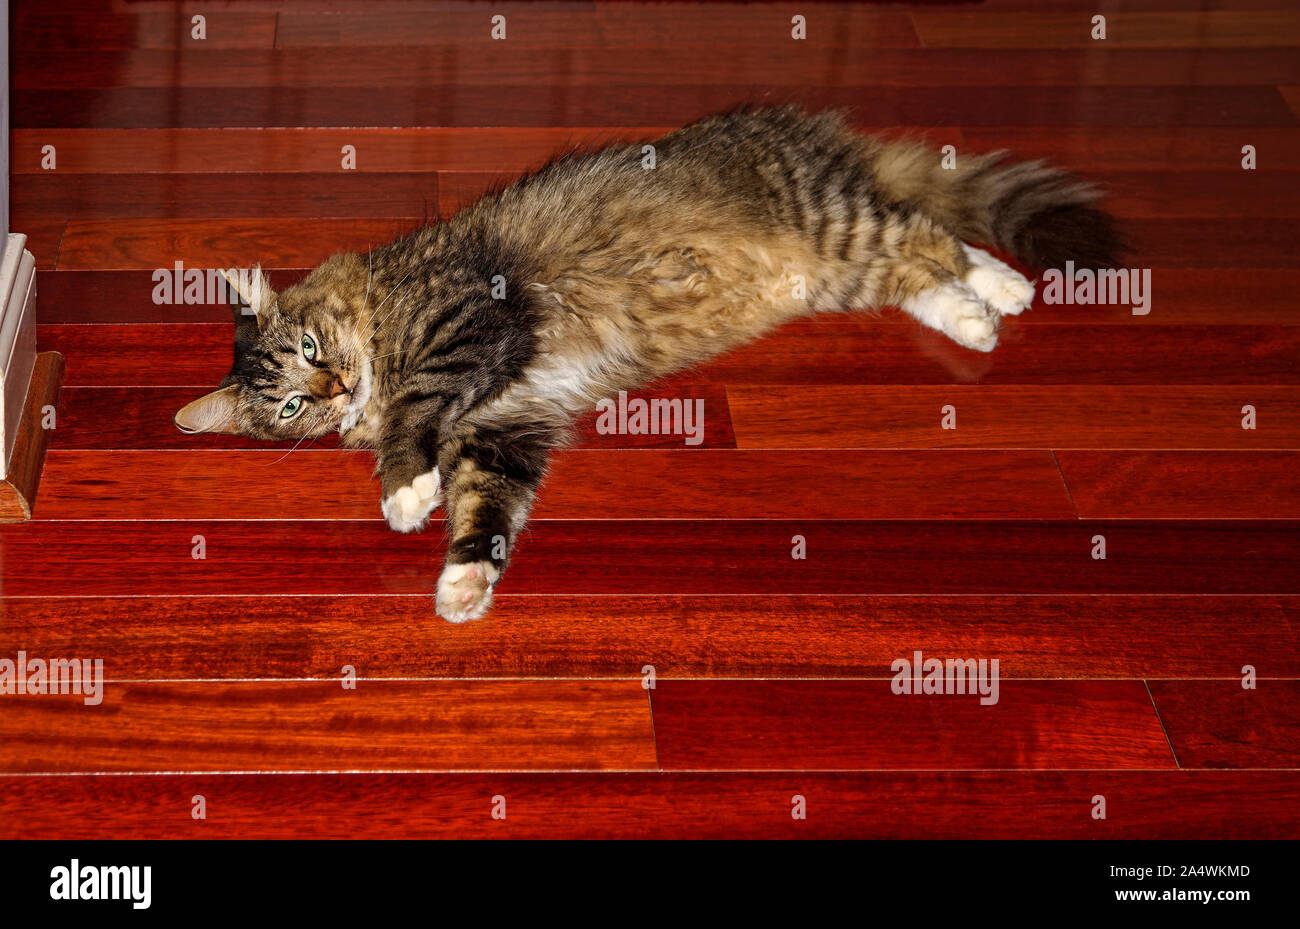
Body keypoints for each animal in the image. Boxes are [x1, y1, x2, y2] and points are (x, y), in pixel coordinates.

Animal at [178, 105, 1123, 621]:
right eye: (288, 407)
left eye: (310, 351)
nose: (332, 386)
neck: (378, 312)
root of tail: (799, 130)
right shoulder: (505, 425)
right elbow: (486, 510)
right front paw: (463, 584)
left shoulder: (470, 322)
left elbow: (416, 413)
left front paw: (404, 490)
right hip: (837, 270)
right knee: (920, 269)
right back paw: (975, 314)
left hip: (836, 226)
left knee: (935, 234)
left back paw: (1002, 289)